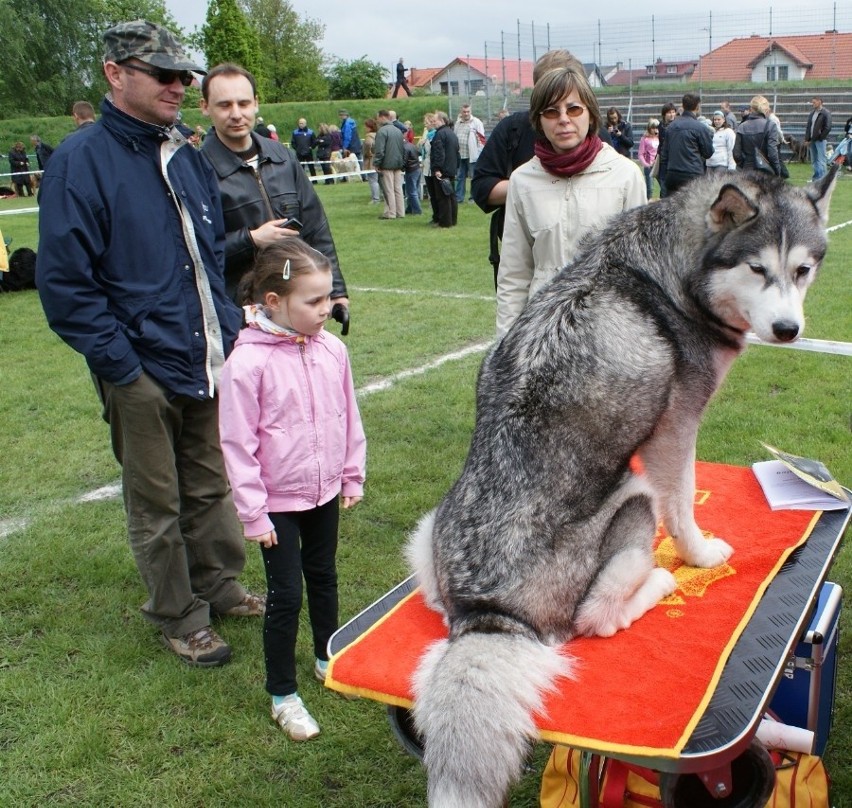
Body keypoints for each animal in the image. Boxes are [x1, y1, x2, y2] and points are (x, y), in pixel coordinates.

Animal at [408, 167, 840, 804]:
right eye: (758, 269)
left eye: (803, 270)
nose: (789, 330)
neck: (672, 271)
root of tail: (487, 612)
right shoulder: (675, 429)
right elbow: (683, 502)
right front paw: (698, 554)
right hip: (631, 500)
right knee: (600, 617)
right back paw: (659, 580)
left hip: (425, 532)